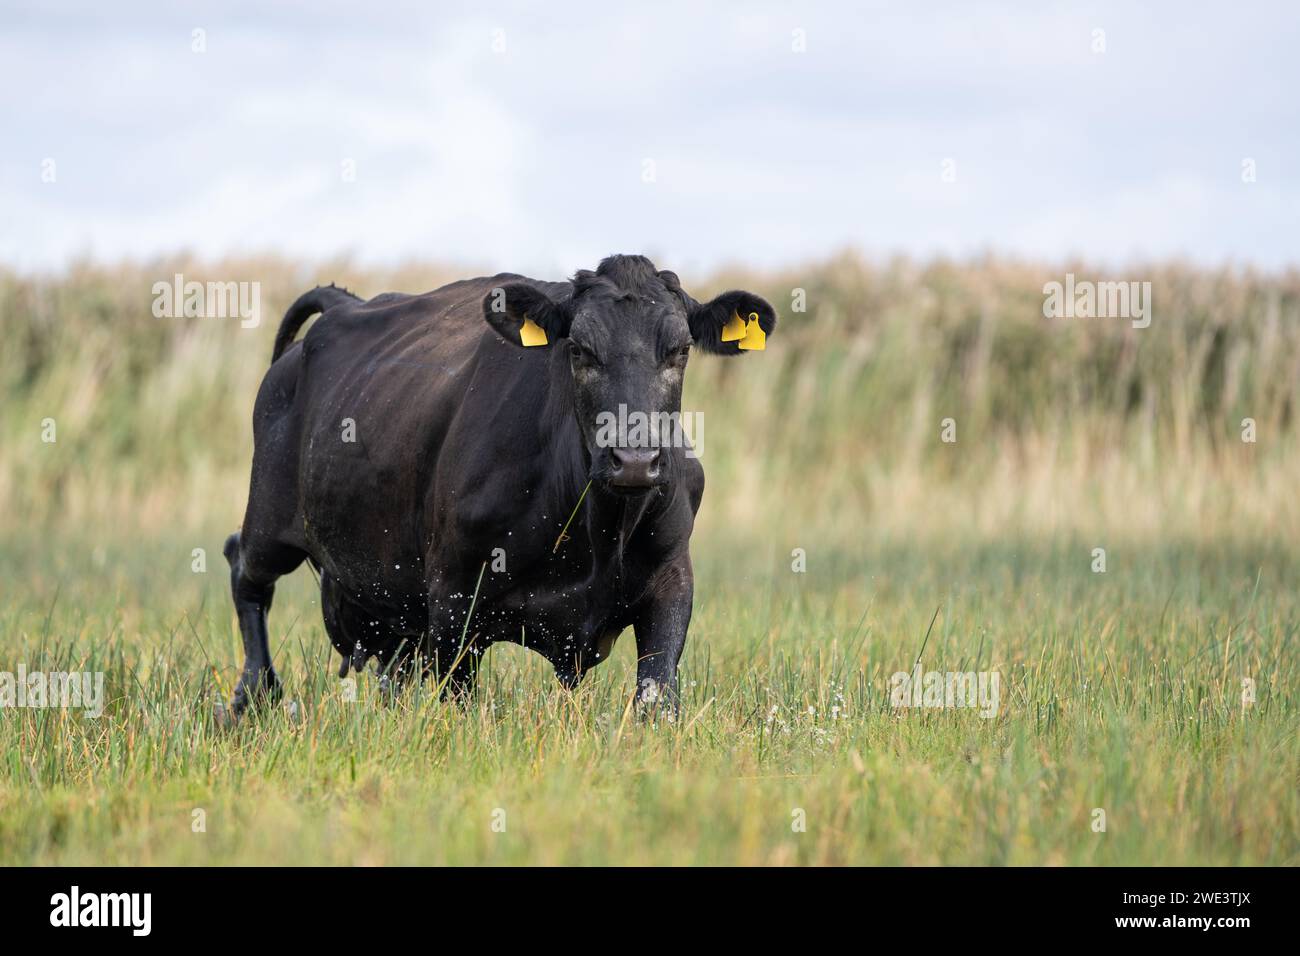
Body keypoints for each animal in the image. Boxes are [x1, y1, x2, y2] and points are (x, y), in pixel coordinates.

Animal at [220, 254, 780, 717]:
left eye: (680, 350)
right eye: (579, 350)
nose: (635, 460)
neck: (598, 531)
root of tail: (346, 306)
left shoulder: (672, 579)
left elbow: (656, 698)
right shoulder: (453, 597)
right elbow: (461, 703)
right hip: (269, 518)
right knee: (245, 571)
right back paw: (252, 696)